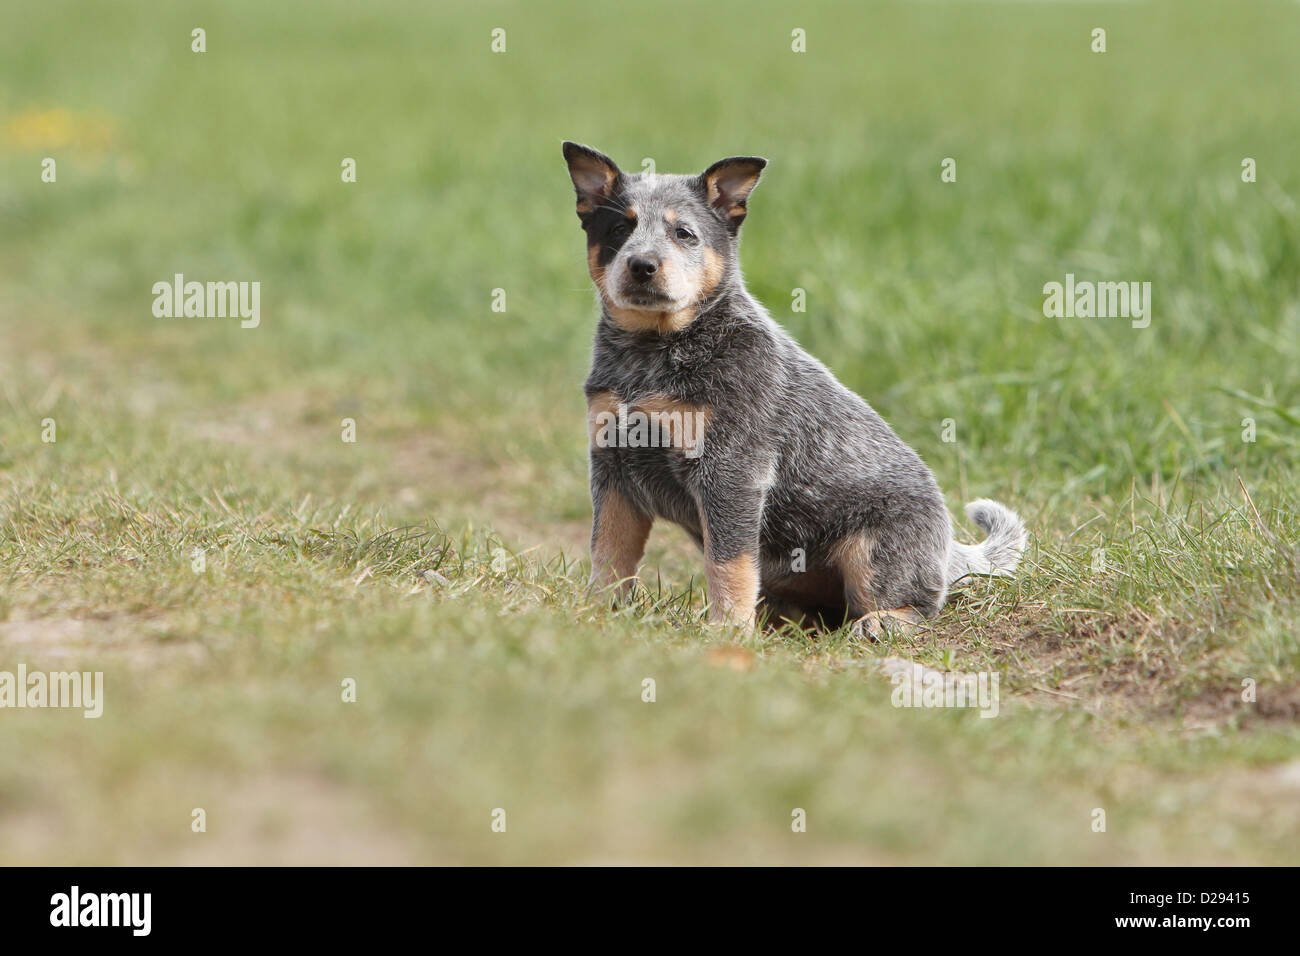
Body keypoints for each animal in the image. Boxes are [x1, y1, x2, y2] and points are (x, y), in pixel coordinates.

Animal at [559, 141, 1024, 632]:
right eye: (618, 228)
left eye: (683, 233)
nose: (642, 264)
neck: (651, 352)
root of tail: (951, 549)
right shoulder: (612, 465)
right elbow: (608, 552)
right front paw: (596, 613)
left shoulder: (732, 471)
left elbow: (728, 564)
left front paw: (727, 629)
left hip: (874, 550)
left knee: (920, 604)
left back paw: (881, 622)